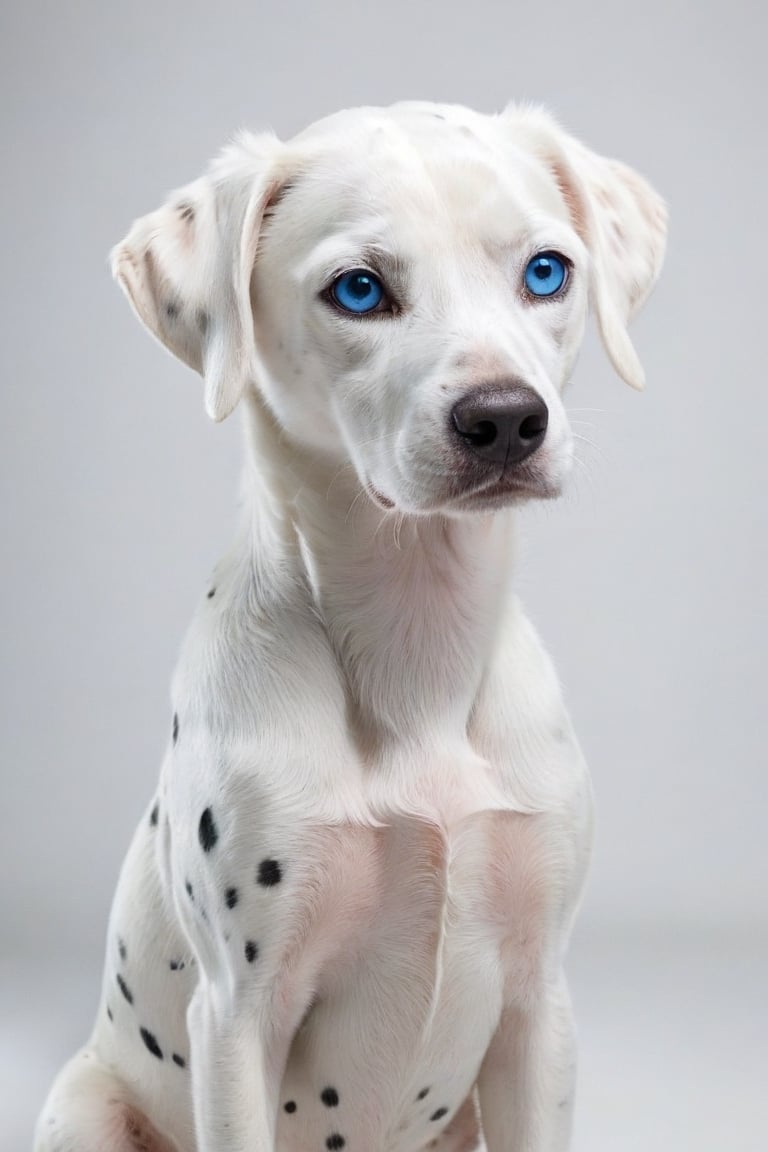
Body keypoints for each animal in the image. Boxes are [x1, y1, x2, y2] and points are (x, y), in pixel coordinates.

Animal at [33, 101, 667, 1152]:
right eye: (359, 289)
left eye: (547, 271)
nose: (506, 419)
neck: (418, 646)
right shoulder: (237, 1020)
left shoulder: (539, 1009)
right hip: (85, 1107)